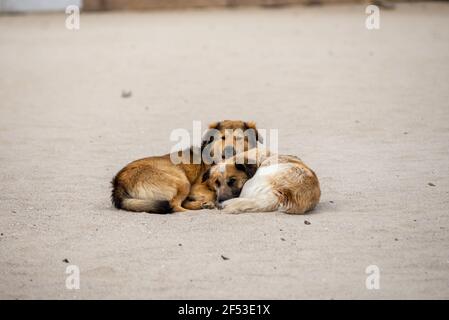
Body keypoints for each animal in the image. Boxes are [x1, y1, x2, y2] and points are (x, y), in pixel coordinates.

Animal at [110, 121, 260, 214]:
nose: (229, 150)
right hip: (183, 182)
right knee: (174, 205)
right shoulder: (196, 187)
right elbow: (212, 193)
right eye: (222, 138)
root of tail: (118, 182)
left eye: (239, 138)